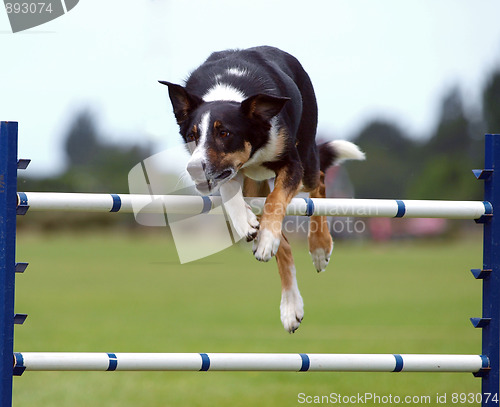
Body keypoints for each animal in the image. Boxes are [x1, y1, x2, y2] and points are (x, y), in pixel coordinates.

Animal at [160, 46, 364, 334]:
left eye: (224, 133)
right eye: (192, 135)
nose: (193, 169)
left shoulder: (291, 164)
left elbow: (276, 200)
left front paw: (267, 237)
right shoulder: (228, 172)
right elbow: (231, 193)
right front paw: (247, 224)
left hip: (307, 160)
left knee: (321, 180)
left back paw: (319, 248)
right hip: (255, 182)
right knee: (284, 243)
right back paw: (290, 307)